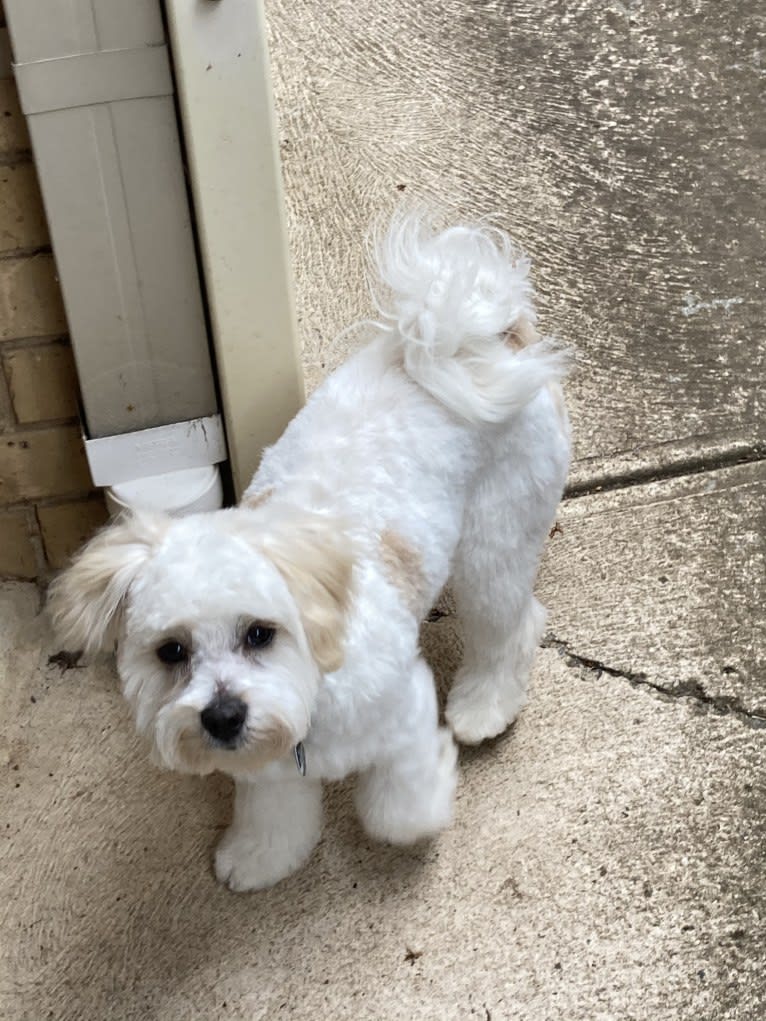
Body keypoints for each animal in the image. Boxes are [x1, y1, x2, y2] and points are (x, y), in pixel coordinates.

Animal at [48, 217, 571, 894]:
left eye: (260, 633)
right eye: (171, 652)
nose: (222, 717)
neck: (312, 697)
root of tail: (480, 341)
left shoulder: (405, 706)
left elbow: (398, 807)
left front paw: (420, 807)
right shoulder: (266, 766)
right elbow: (273, 815)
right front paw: (261, 856)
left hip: (492, 547)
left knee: (511, 626)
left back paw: (485, 706)